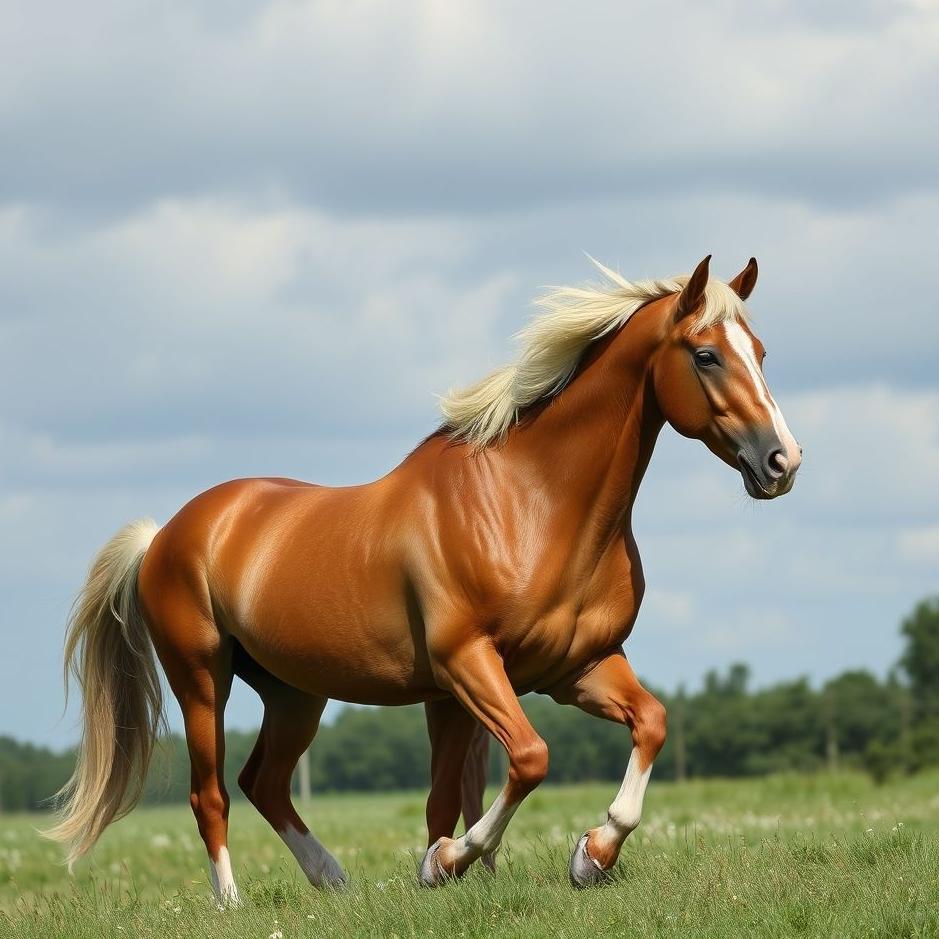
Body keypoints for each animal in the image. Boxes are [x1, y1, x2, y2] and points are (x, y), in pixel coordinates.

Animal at [46, 255, 801, 899]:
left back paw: (333, 880)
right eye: (705, 354)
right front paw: (445, 862)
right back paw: (232, 901)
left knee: (265, 781)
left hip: (294, 692)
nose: (782, 461)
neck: (530, 503)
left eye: (760, 353)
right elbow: (526, 759)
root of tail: (166, 533)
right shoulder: (466, 663)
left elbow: (647, 724)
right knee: (212, 793)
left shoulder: (574, 667)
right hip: (203, 679)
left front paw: (591, 853)